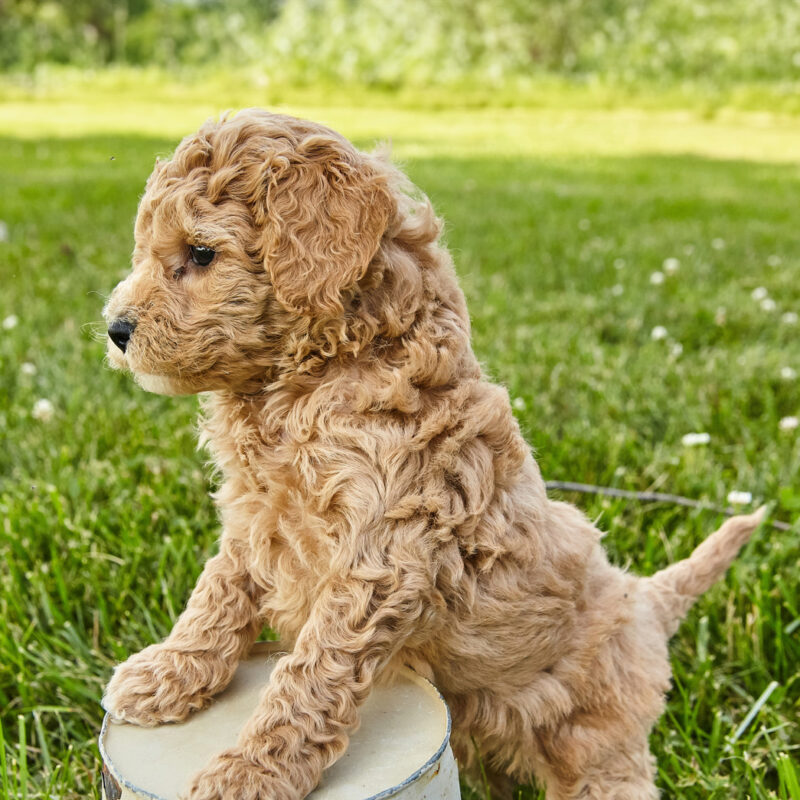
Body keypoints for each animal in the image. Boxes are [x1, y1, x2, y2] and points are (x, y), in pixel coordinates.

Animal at [103, 108, 764, 800]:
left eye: (201, 254)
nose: (115, 330)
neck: (323, 373)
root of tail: (643, 602)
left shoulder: (380, 552)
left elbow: (310, 672)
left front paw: (254, 769)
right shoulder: (258, 516)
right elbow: (217, 593)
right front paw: (169, 672)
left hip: (598, 738)